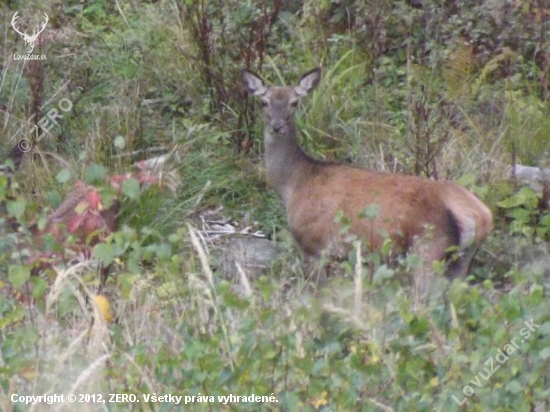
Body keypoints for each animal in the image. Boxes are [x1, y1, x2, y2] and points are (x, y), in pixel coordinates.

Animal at [243, 67, 496, 300]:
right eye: (264, 102)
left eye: (294, 102)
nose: (277, 126)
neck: (294, 184)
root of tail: (480, 215)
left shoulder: (313, 246)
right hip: (462, 259)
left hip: (427, 248)